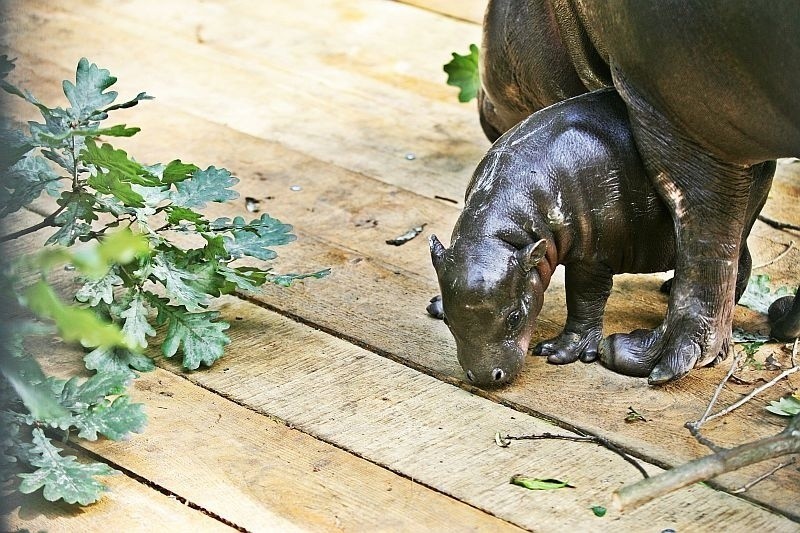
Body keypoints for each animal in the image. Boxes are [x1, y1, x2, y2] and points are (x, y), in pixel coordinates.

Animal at [428, 87, 764, 386]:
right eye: (449, 322)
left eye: (515, 316)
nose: (486, 377)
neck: (503, 234)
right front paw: (436, 304)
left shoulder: (592, 256)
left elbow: (585, 299)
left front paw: (561, 352)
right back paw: (669, 287)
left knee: (736, 261)